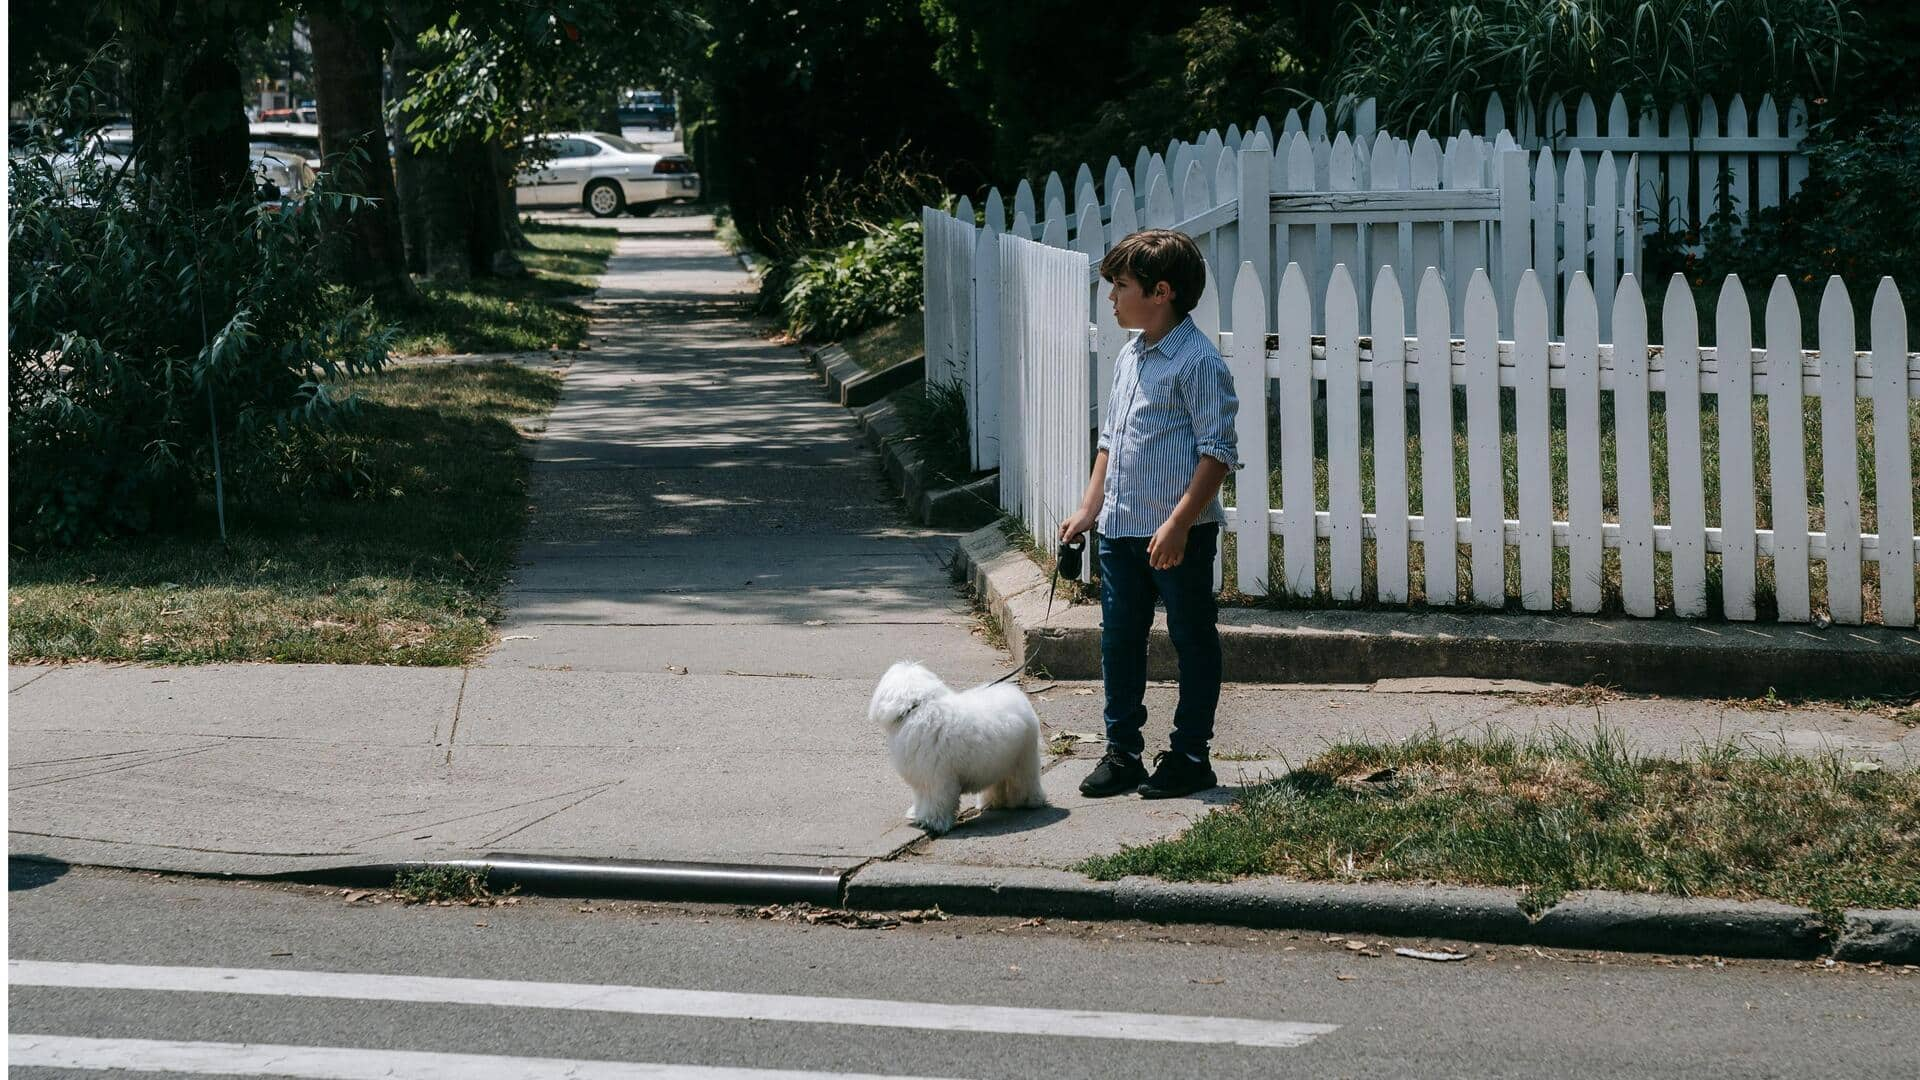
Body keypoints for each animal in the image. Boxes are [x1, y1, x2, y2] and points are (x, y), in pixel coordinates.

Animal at [875, 657, 1052, 834]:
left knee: (1026, 781)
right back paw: (991, 802)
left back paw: (1033, 801)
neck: (919, 707)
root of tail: (1017, 695)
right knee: (998, 784)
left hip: (1023, 758)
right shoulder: (922, 778)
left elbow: (937, 800)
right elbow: (921, 798)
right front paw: (918, 814)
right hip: (997, 762)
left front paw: (934, 822)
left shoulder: (938, 778)